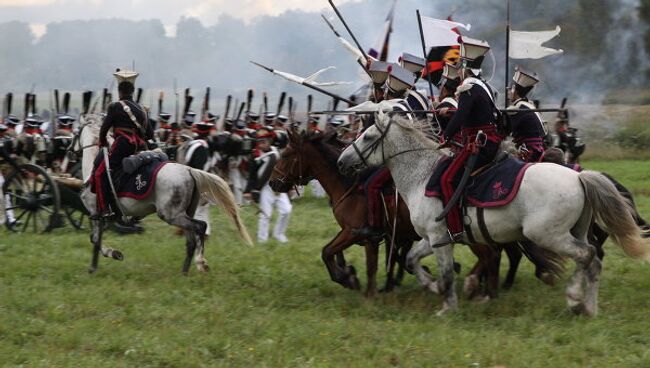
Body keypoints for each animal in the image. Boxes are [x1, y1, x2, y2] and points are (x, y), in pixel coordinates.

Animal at [77, 114, 252, 274]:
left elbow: (95, 240)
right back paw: (185, 272)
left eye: (77, 132)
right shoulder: (100, 216)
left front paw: (108, 257)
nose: (72, 151)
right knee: (191, 240)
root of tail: (189, 170)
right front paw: (99, 263)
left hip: (171, 215)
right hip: (183, 214)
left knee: (200, 226)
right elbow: (96, 239)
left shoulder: (96, 213)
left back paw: (200, 262)